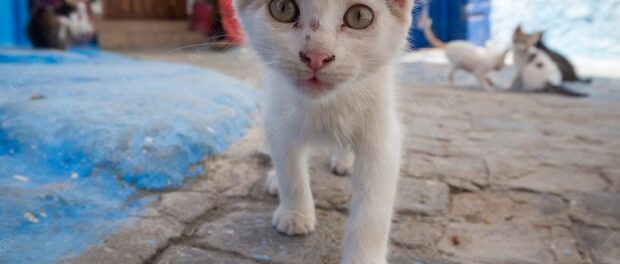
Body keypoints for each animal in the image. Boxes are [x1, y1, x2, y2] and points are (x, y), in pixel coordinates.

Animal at [235, 0, 414, 264]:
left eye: (359, 16)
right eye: (282, 8)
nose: (316, 56)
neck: (327, 104)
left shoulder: (382, 132)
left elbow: (374, 203)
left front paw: (363, 256)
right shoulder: (277, 115)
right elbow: (290, 168)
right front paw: (295, 213)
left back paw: (344, 161)